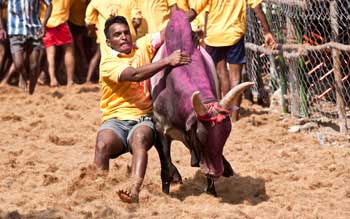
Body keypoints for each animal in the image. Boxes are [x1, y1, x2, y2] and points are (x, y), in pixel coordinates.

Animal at [150, 9, 254, 196]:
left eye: (226, 134)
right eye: (200, 135)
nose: (216, 172)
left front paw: (212, 188)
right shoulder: (160, 128)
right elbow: (166, 161)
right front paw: (168, 185)